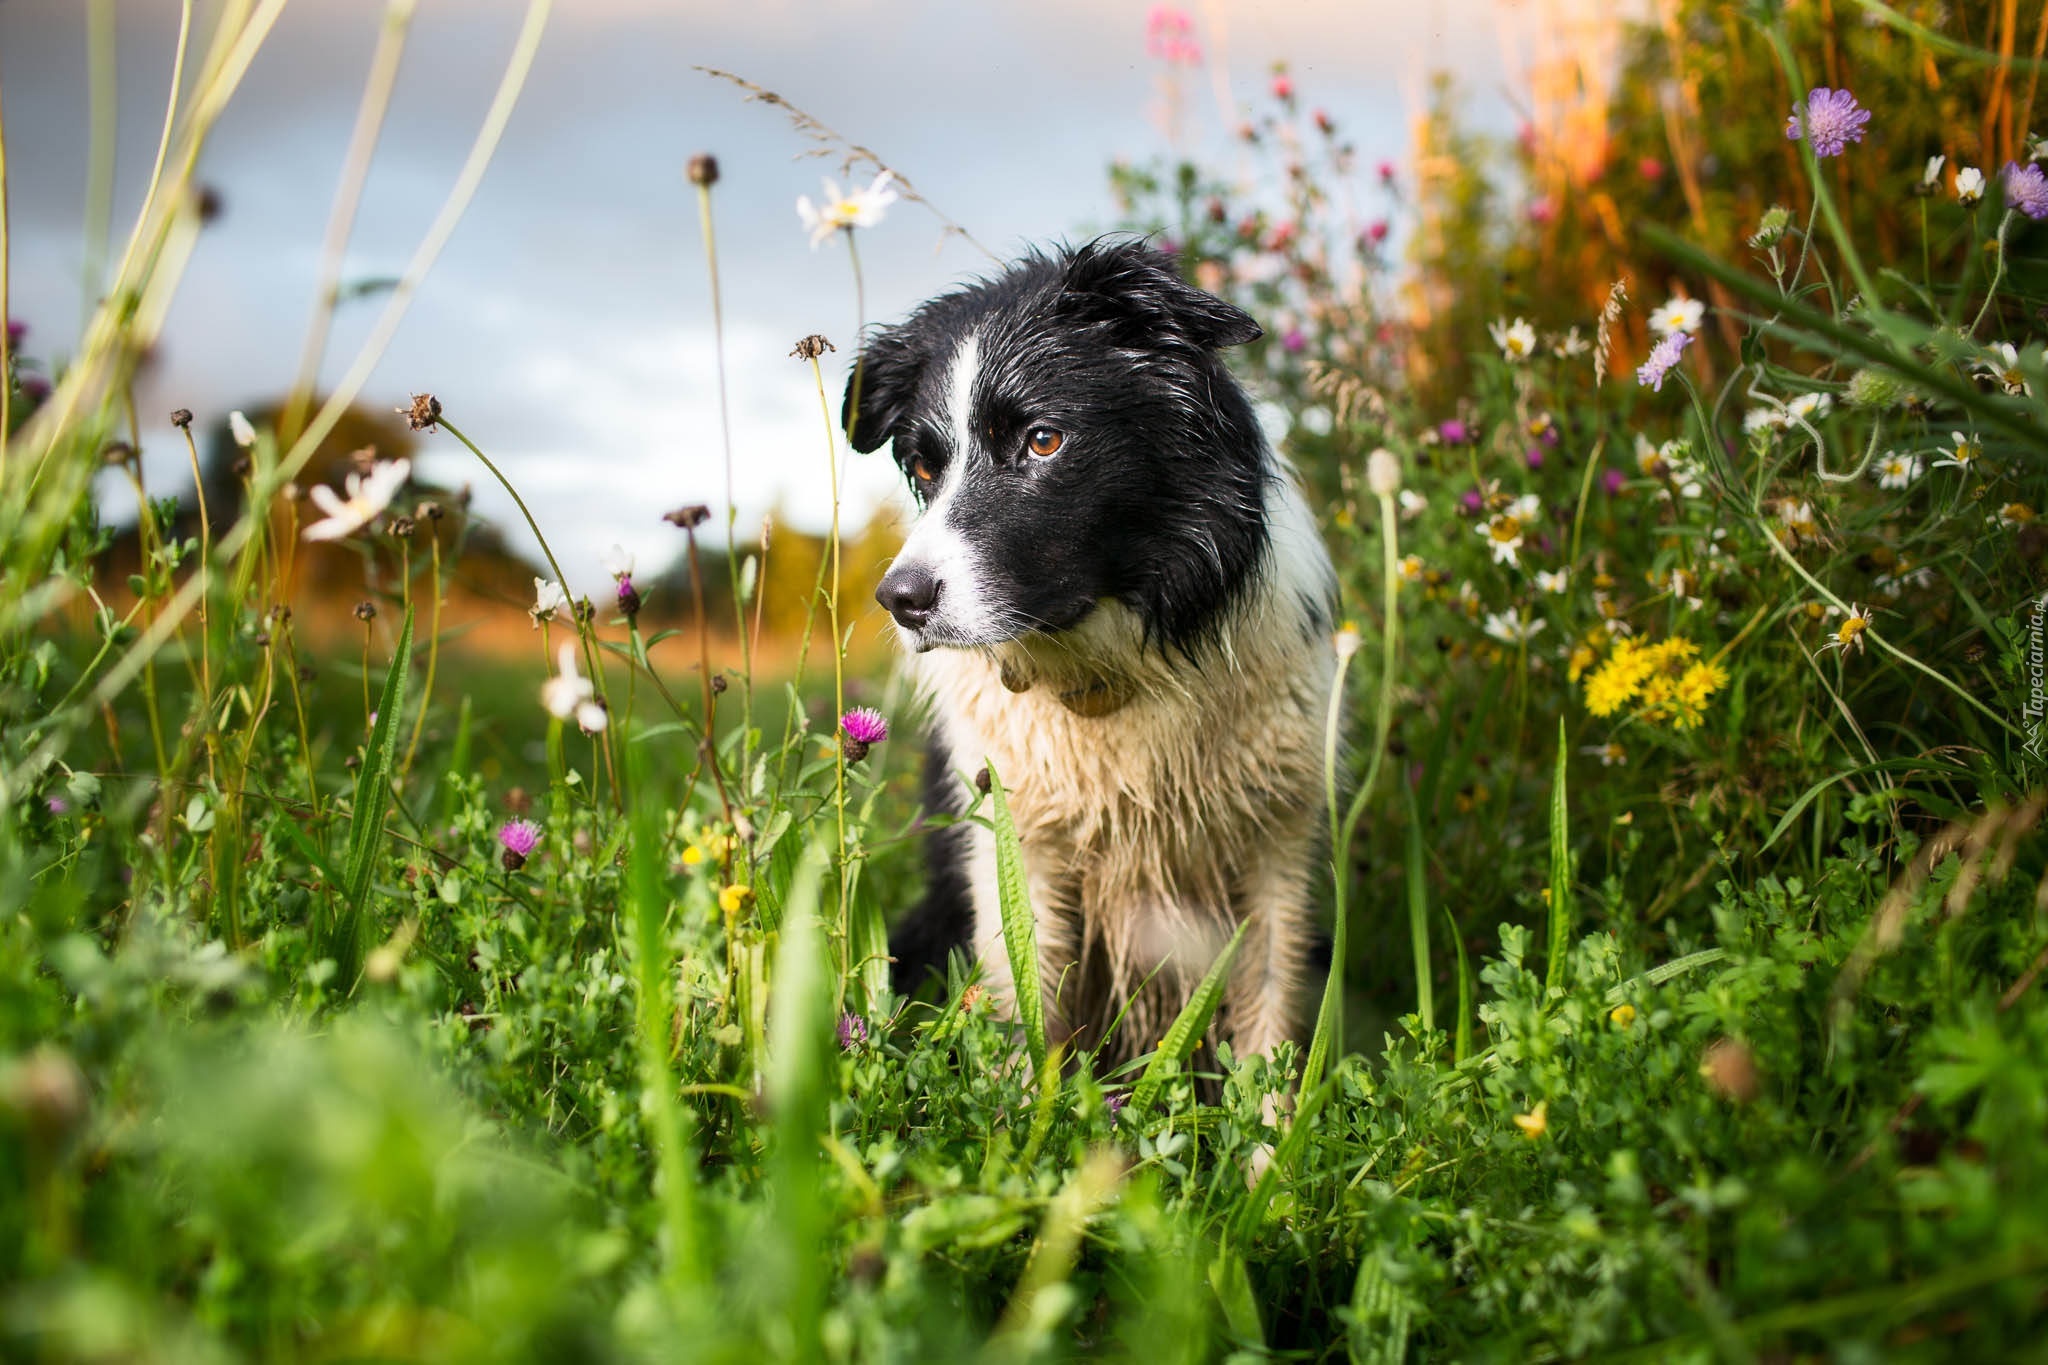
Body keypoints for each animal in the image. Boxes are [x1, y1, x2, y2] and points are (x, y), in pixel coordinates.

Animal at [839, 237, 1335, 1064]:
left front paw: (1268, 1106)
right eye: (927, 465)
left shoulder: (1279, 838)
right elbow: (1024, 1009)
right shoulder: (1017, 844)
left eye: (1043, 439)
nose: (900, 599)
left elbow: (1269, 1009)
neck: (1110, 670)